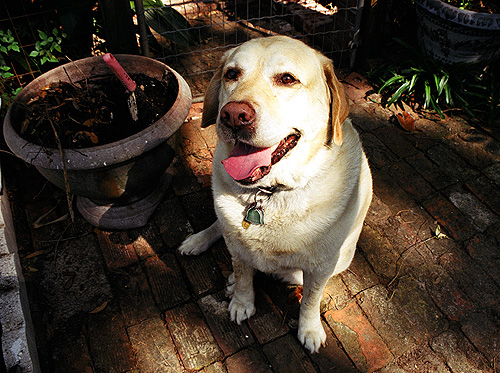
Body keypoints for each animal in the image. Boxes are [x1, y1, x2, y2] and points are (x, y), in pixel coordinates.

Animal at [180, 36, 372, 354]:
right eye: (231, 74)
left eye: (287, 79)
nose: (234, 115)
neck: (268, 193)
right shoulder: (237, 246)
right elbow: (243, 275)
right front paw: (241, 302)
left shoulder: (322, 265)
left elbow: (311, 299)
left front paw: (309, 329)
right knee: (220, 227)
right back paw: (199, 242)